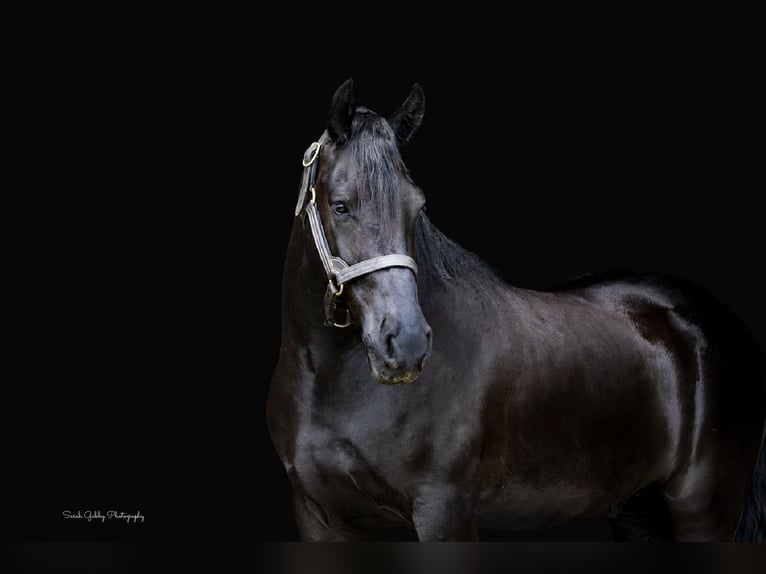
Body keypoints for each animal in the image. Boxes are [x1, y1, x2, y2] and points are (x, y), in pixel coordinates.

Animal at [266, 78, 766, 541]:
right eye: (341, 206)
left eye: (417, 206)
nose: (405, 343)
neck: (332, 383)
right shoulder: (317, 516)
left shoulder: (443, 511)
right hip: (637, 510)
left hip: (702, 508)